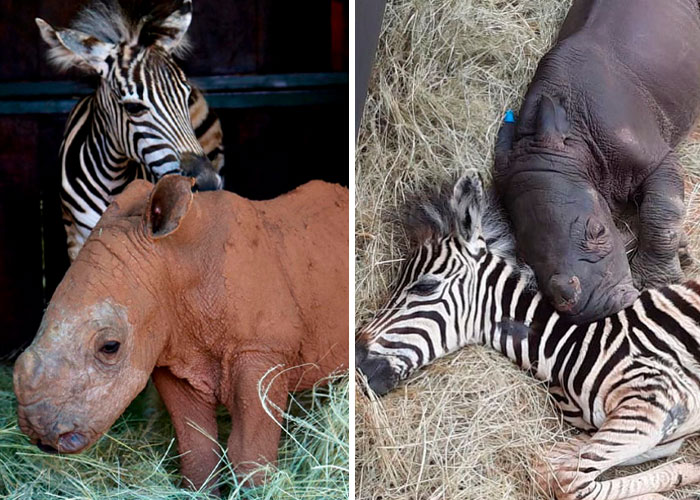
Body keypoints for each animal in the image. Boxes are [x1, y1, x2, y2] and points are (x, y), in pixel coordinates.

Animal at [13, 175, 348, 490]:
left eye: (110, 347)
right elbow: (195, 443)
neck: (177, 265)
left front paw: (257, 489)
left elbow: (249, 449)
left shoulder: (261, 348)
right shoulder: (175, 353)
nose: (38, 433)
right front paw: (201, 490)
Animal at [357, 172, 700, 500]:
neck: (568, 347)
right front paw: (684, 473)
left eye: (425, 286)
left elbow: (569, 480)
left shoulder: (653, 403)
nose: (358, 363)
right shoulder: (655, 432)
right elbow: (546, 464)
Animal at [494, 0, 700, 323]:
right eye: (524, 258)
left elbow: (661, 212)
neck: (575, 146)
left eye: (599, 231)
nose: (594, 309)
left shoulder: (657, 159)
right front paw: (681, 252)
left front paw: (655, 284)